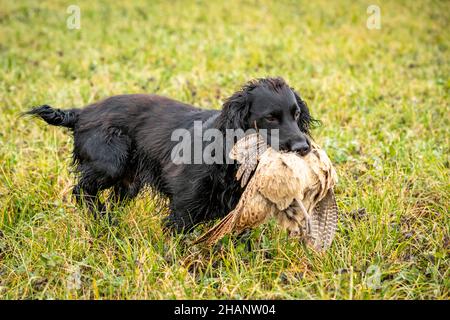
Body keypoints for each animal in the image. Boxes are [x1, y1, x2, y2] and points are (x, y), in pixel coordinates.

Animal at [26, 77, 318, 232]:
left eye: (296, 114)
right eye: (270, 117)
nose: (303, 148)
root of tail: (81, 113)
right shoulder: (184, 206)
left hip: (129, 181)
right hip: (111, 163)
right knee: (81, 190)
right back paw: (103, 220)